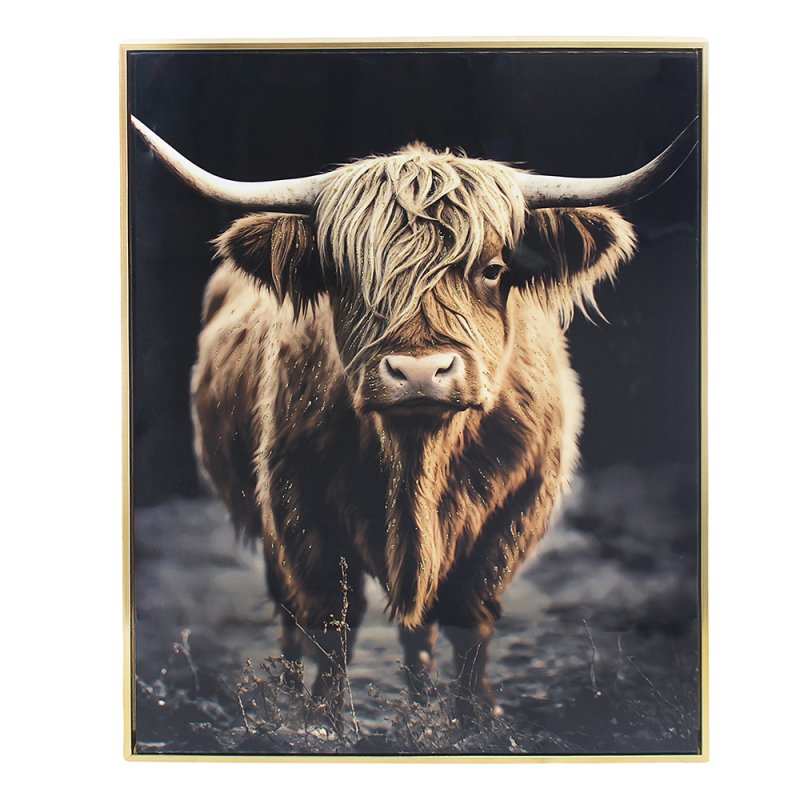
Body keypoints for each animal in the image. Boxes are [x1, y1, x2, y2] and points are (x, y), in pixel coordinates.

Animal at [131, 116, 697, 715]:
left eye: (492, 269)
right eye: (343, 276)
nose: (420, 371)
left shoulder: (516, 508)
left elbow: (469, 621)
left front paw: (476, 718)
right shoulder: (297, 507)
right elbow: (330, 624)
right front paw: (323, 721)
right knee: (289, 615)